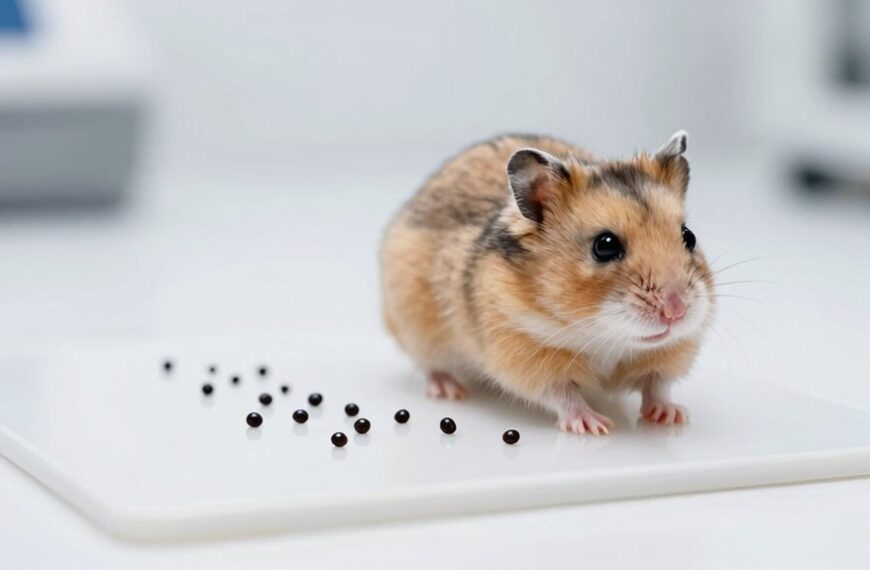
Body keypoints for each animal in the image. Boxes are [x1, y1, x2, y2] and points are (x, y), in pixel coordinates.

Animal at [380, 132, 714, 435]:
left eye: (688, 236)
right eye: (604, 246)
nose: (676, 311)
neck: (606, 337)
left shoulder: (670, 352)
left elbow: (657, 385)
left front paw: (672, 416)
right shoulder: (526, 356)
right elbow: (563, 394)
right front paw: (595, 426)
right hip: (414, 326)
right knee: (430, 365)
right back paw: (450, 390)